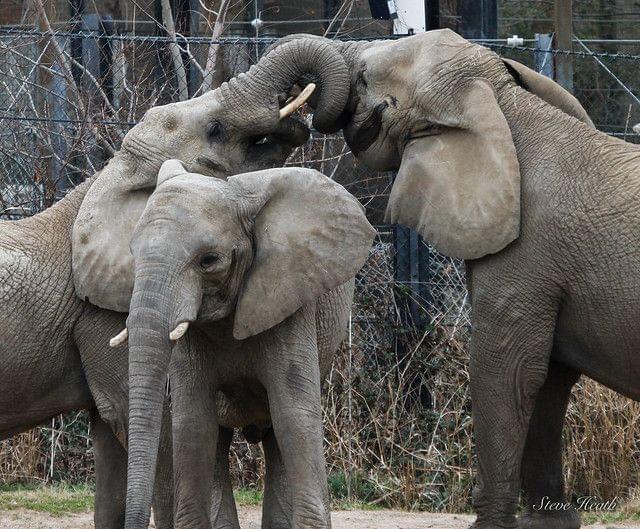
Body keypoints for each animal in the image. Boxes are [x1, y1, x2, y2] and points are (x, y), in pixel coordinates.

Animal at [240, 27, 640, 528]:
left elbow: (508, 371)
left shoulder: (528, 253)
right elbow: (549, 381)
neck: (503, 102)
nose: (289, 105)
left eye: (364, 76)